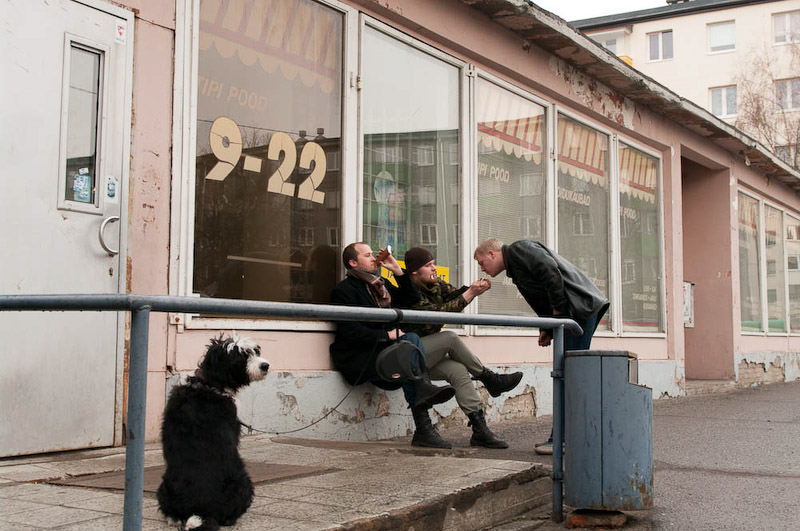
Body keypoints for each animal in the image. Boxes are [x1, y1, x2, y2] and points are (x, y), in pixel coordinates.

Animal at [158, 334, 270, 528]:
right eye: (241, 356)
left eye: (255, 351)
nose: (265, 365)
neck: (209, 383)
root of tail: (201, 510)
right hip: (244, 482)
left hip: (164, 486)